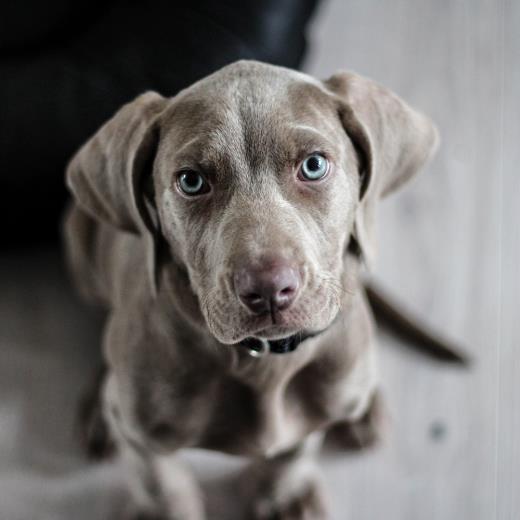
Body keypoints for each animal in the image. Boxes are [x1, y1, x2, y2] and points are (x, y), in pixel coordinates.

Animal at [63, 62, 440, 520]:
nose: (269, 290)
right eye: (191, 181)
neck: (263, 361)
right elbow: (161, 483)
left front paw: (283, 496)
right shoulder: (142, 436)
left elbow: (294, 451)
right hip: (79, 244)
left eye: (314, 165)